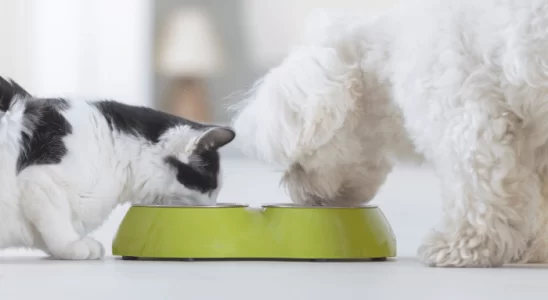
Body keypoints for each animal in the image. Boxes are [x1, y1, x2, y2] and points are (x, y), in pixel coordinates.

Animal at [232, 0, 548, 268]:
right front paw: (537, 249)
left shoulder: (469, 123)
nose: (301, 196)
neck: (387, 55)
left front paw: (460, 247)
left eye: (298, 162)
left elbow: (476, 194)